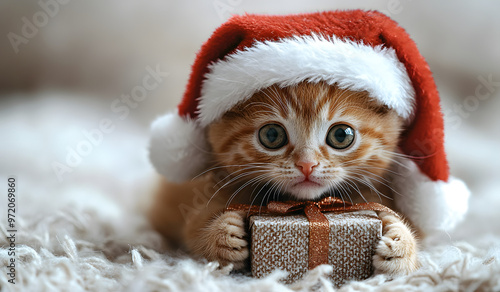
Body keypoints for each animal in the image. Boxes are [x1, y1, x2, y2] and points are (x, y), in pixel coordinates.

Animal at [150, 81, 420, 276]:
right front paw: (221, 236)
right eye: (272, 134)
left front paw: (400, 243)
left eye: (341, 135)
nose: (307, 164)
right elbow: (194, 227)